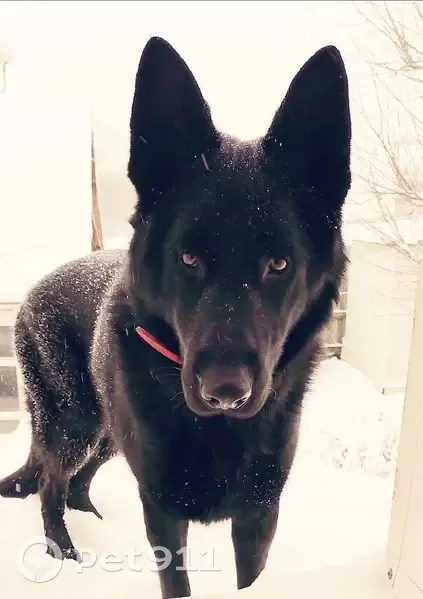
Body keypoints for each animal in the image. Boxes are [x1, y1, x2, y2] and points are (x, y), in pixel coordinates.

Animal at [0, 37, 351, 598]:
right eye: (188, 258)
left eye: (279, 265)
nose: (225, 391)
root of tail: (37, 287)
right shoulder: (163, 507)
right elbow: (176, 579)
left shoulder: (260, 514)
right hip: (75, 421)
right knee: (53, 483)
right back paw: (66, 554)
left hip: (109, 433)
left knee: (77, 481)